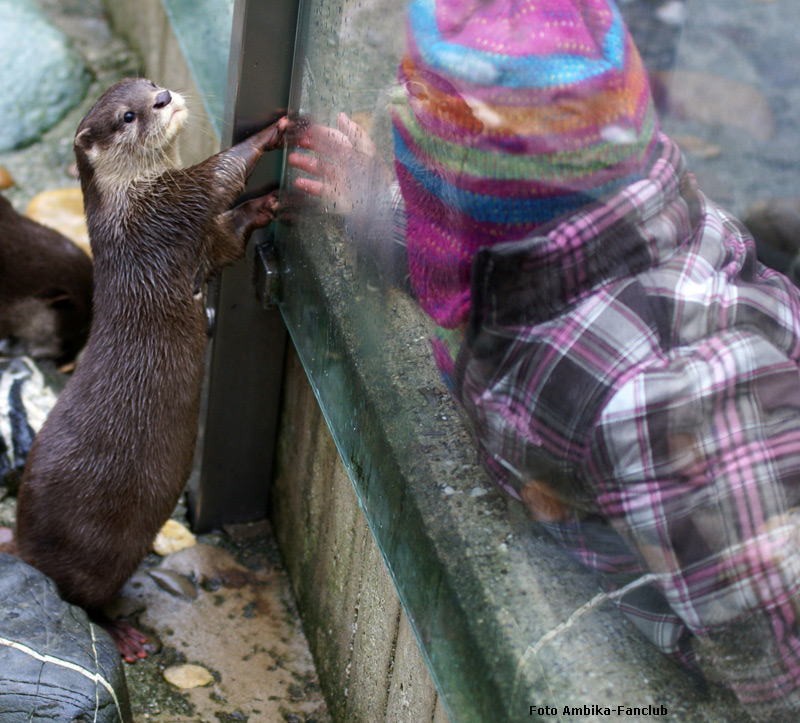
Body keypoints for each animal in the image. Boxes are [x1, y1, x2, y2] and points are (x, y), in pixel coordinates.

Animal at [14, 79, 288, 660]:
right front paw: (273, 133)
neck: (129, 202)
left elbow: (229, 235)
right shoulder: (171, 206)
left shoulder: (202, 240)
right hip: (92, 559)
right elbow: (219, 176)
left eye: (148, 85)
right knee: (81, 598)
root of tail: (22, 545)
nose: (164, 96)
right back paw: (123, 636)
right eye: (127, 114)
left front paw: (269, 203)